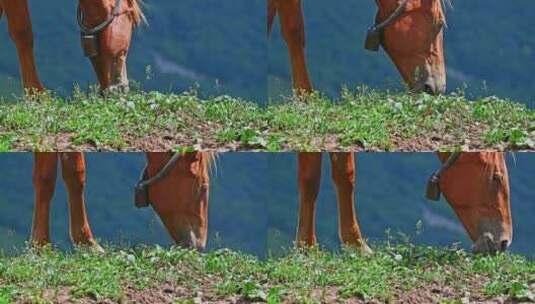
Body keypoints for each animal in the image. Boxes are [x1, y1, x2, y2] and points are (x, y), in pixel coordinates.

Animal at [272, 0, 516, 254]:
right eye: (496, 179)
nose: (503, 242)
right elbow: (294, 30)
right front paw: (306, 247)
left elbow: (344, 172)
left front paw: (355, 244)